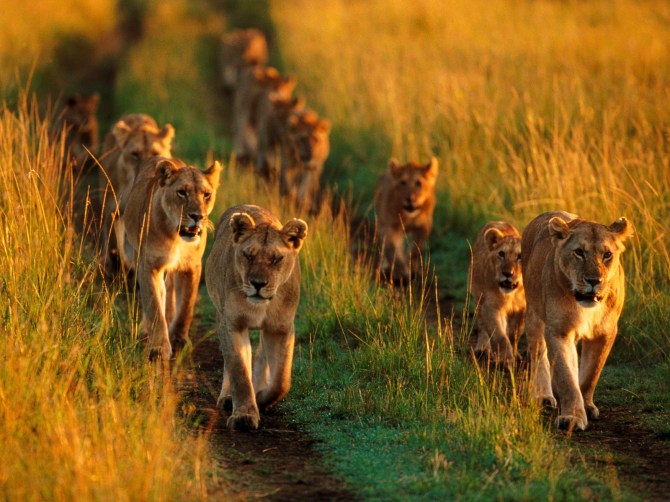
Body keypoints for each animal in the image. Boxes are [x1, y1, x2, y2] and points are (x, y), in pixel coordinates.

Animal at [122, 156, 222, 360]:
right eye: (181, 193)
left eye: (206, 195)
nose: (197, 216)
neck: (176, 237)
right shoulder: (149, 266)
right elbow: (154, 306)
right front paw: (159, 347)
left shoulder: (191, 266)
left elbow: (186, 305)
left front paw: (178, 339)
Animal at [205, 204, 308, 430]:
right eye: (248, 256)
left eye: (277, 259)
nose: (258, 284)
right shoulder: (232, 324)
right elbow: (239, 370)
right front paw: (244, 415)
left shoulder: (280, 328)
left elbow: (281, 381)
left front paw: (261, 398)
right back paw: (228, 398)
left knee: (261, 355)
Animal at [470, 221, 525, 367]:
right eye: (501, 254)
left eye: (520, 256)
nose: (507, 273)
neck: (512, 295)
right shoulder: (490, 306)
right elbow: (500, 336)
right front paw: (506, 360)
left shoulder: (522, 309)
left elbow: (513, 333)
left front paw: (514, 355)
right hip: (479, 297)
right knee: (482, 325)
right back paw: (482, 348)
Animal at [521, 211, 633, 431]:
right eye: (579, 252)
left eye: (607, 255)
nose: (594, 281)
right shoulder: (559, 331)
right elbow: (566, 377)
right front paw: (572, 417)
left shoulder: (605, 332)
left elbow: (590, 373)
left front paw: (586, 406)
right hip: (534, 315)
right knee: (539, 355)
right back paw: (544, 396)